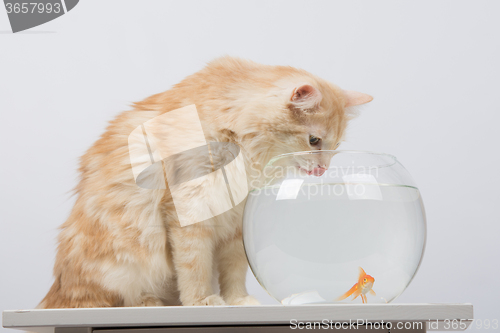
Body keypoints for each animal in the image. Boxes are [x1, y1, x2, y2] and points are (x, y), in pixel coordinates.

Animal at [38, 55, 372, 308]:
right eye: (314, 140)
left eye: (335, 147)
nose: (323, 170)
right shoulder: (189, 210)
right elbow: (194, 265)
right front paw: (201, 300)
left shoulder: (236, 220)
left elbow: (234, 270)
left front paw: (238, 300)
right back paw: (149, 302)